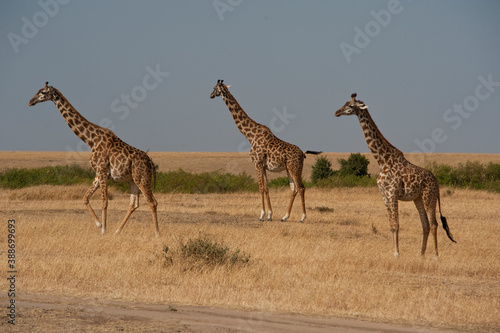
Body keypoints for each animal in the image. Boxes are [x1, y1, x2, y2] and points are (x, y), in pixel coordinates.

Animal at [27, 81, 160, 235]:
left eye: (42, 92)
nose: (30, 102)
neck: (91, 141)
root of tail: (151, 163)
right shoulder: (98, 174)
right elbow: (85, 198)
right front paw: (100, 225)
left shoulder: (102, 171)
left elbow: (104, 202)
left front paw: (104, 230)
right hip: (133, 179)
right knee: (134, 204)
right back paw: (117, 231)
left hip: (142, 178)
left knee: (152, 202)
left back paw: (157, 233)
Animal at [211, 79, 316, 222]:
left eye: (214, 88)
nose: (210, 95)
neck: (250, 136)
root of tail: (302, 154)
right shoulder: (264, 166)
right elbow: (266, 188)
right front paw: (269, 215)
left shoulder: (257, 163)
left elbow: (260, 187)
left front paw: (261, 215)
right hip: (289, 169)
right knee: (293, 189)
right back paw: (285, 217)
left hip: (295, 168)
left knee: (301, 187)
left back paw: (303, 217)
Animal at [334, 93, 456, 256]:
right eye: (345, 102)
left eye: (351, 106)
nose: (337, 112)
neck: (382, 161)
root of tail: (437, 182)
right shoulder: (384, 195)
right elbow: (391, 225)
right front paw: (394, 253)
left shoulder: (392, 193)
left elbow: (397, 224)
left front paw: (397, 254)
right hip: (417, 198)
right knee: (425, 224)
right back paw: (421, 255)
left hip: (428, 197)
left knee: (434, 223)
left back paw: (436, 256)